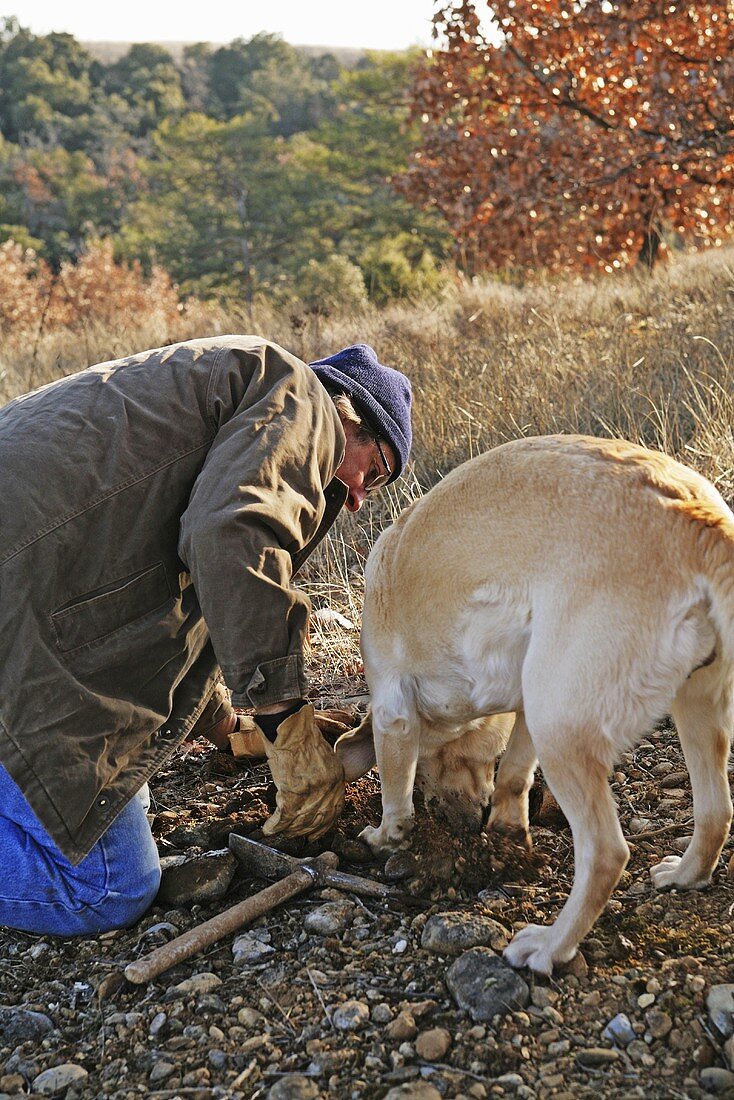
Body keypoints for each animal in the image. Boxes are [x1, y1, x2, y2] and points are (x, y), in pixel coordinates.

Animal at [349, 433, 734, 976]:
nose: (467, 824)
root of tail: (697, 517)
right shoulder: (525, 700)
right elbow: (513, 774)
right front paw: (507, 832)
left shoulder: (393, 711)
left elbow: (393, 789)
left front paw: (387, 835)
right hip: (691, 704)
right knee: (716, 810)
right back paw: (686, 874)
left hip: (563, 729)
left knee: (607, 854)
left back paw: (551, 945)